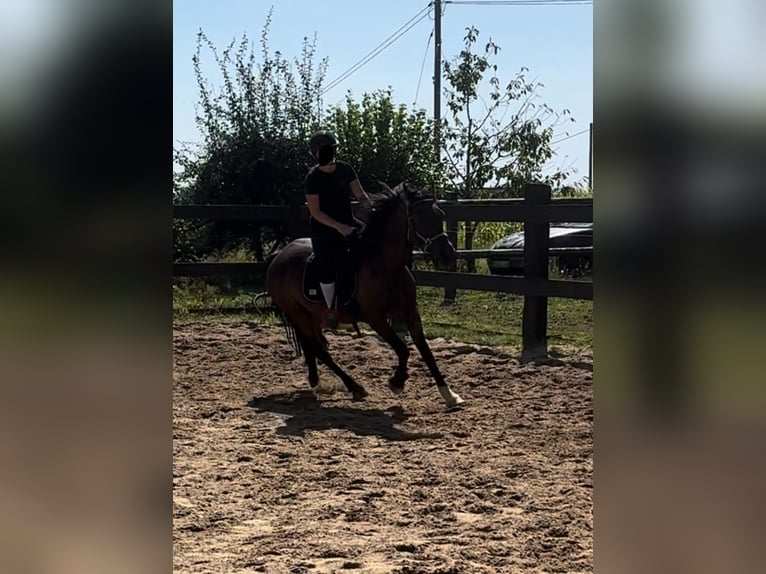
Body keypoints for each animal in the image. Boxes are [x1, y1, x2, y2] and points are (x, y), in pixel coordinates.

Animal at [264, 182, 468, 412]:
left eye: (439, 215)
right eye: (418, 217)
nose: (447, 256)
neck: (387, 266)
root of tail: (277, 257)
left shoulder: (411, 314)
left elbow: (426, 352)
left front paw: (450, 395)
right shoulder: (375, 318)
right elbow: (403, 349)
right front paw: (397, 382)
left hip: (312, 315)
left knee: (313, 346)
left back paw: (316, 381)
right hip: (297, 314)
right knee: (319, 349)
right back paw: (354, 386)